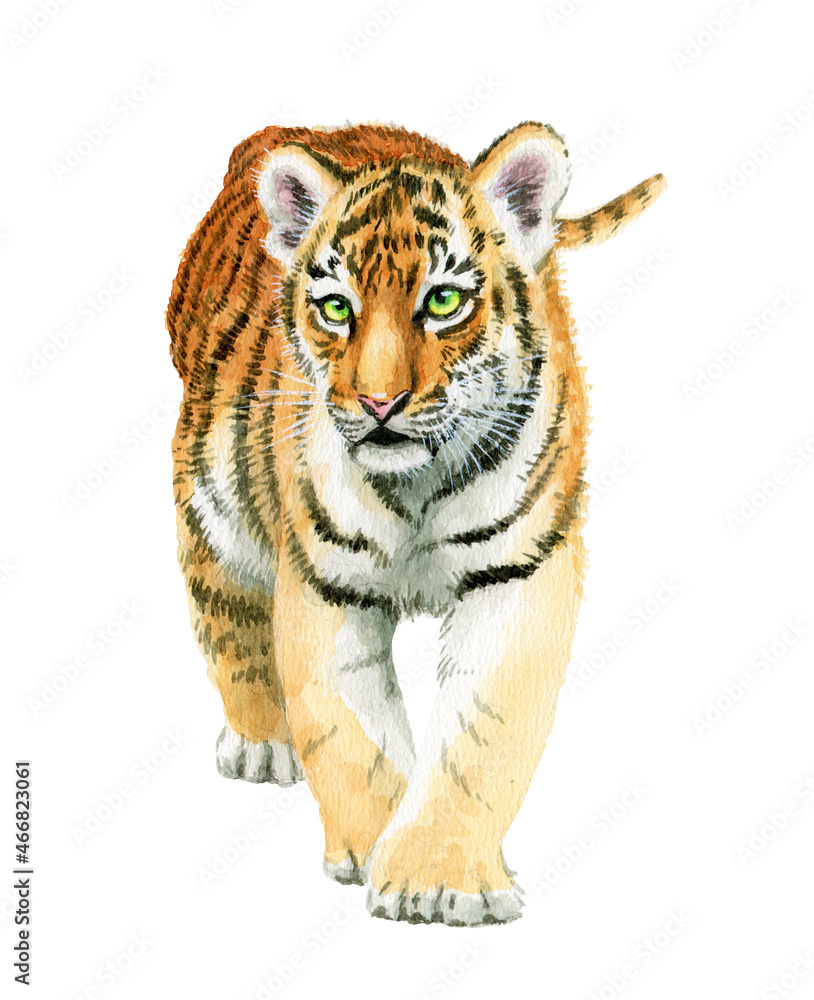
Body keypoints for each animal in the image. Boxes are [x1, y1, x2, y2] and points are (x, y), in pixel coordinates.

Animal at [167, 121, 665, 926]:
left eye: (443, 300)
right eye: (337, 309)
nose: (378, 402)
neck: (418, 486)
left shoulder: (518, 573)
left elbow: (480, 740)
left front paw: (438, 878)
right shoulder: (326, 582)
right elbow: (351, 735)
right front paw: (376, 851)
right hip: (212, 490)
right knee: (224, 607)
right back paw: (261, 743)